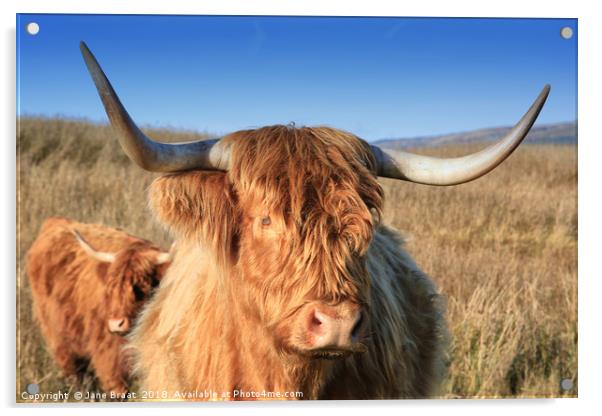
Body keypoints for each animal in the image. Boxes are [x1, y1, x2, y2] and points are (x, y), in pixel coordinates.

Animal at [25, 216, 171, 394]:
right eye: (111, 287)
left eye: (141, 286)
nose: (116, 324)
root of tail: (55, 221)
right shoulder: (110, 359)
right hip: (58, 337)